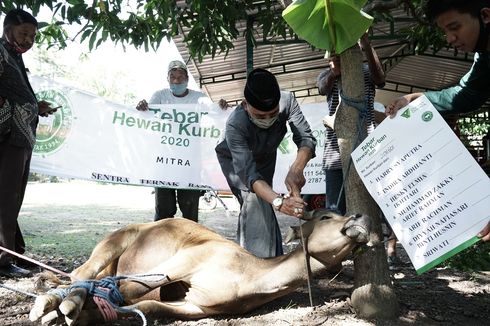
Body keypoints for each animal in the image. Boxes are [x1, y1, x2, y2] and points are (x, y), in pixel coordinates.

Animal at [29, 210, 372, 324]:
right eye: (326, 216)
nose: (362, 216)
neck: (250, 274)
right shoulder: (189, 258)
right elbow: (129, 287)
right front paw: (62, 309)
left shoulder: (197, 306)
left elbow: (146, 305)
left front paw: (88, 314)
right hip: (114, 241)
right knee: (83, 274)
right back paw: (52, 299)